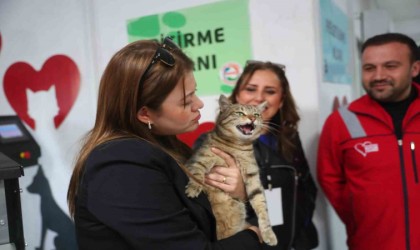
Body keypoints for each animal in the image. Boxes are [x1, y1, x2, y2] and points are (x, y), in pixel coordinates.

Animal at [185, 94, 278, 245]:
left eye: (256, 114)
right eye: (240, 113)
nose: (252, 119)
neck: (237, 147)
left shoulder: (252, 175)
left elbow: (261, 204)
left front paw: (268, 233)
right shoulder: (200, 158)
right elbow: (197, 173)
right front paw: (193, 188)